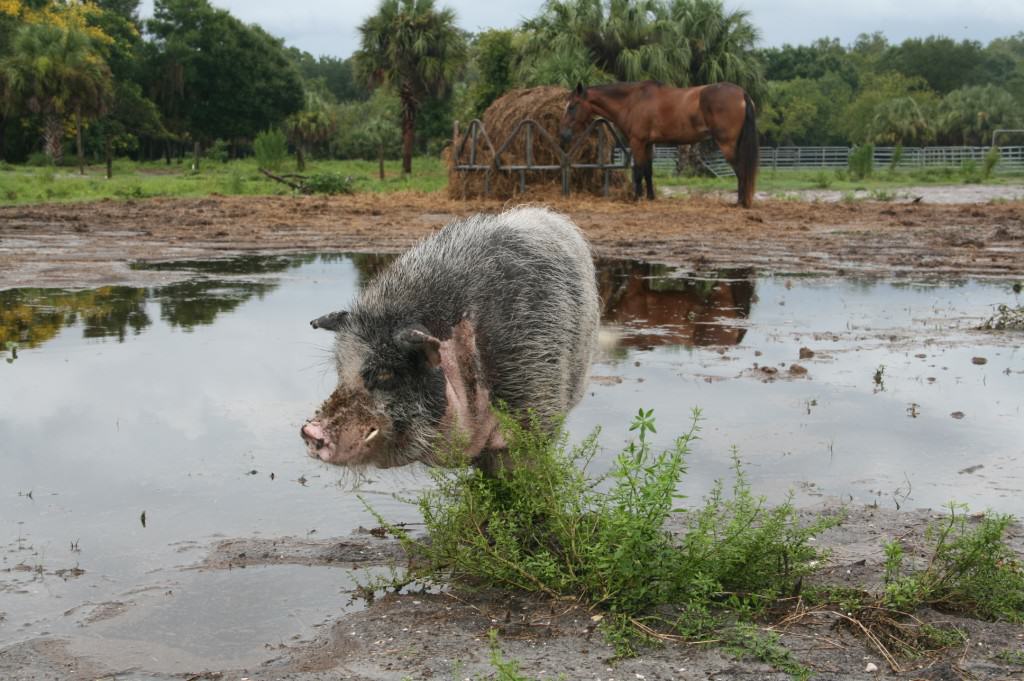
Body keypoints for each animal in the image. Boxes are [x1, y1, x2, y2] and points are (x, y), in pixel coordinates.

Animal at [565, 80, 757, 206]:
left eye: (572, 106)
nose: (564, 134)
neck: (632, 101)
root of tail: (742, 93)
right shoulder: (649, 144)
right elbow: (648, 172)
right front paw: (650, 197)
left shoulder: (637, 142)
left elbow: (638, 172)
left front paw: (636, 198)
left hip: (727, 145)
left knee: (741, 171)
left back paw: (740, 202)